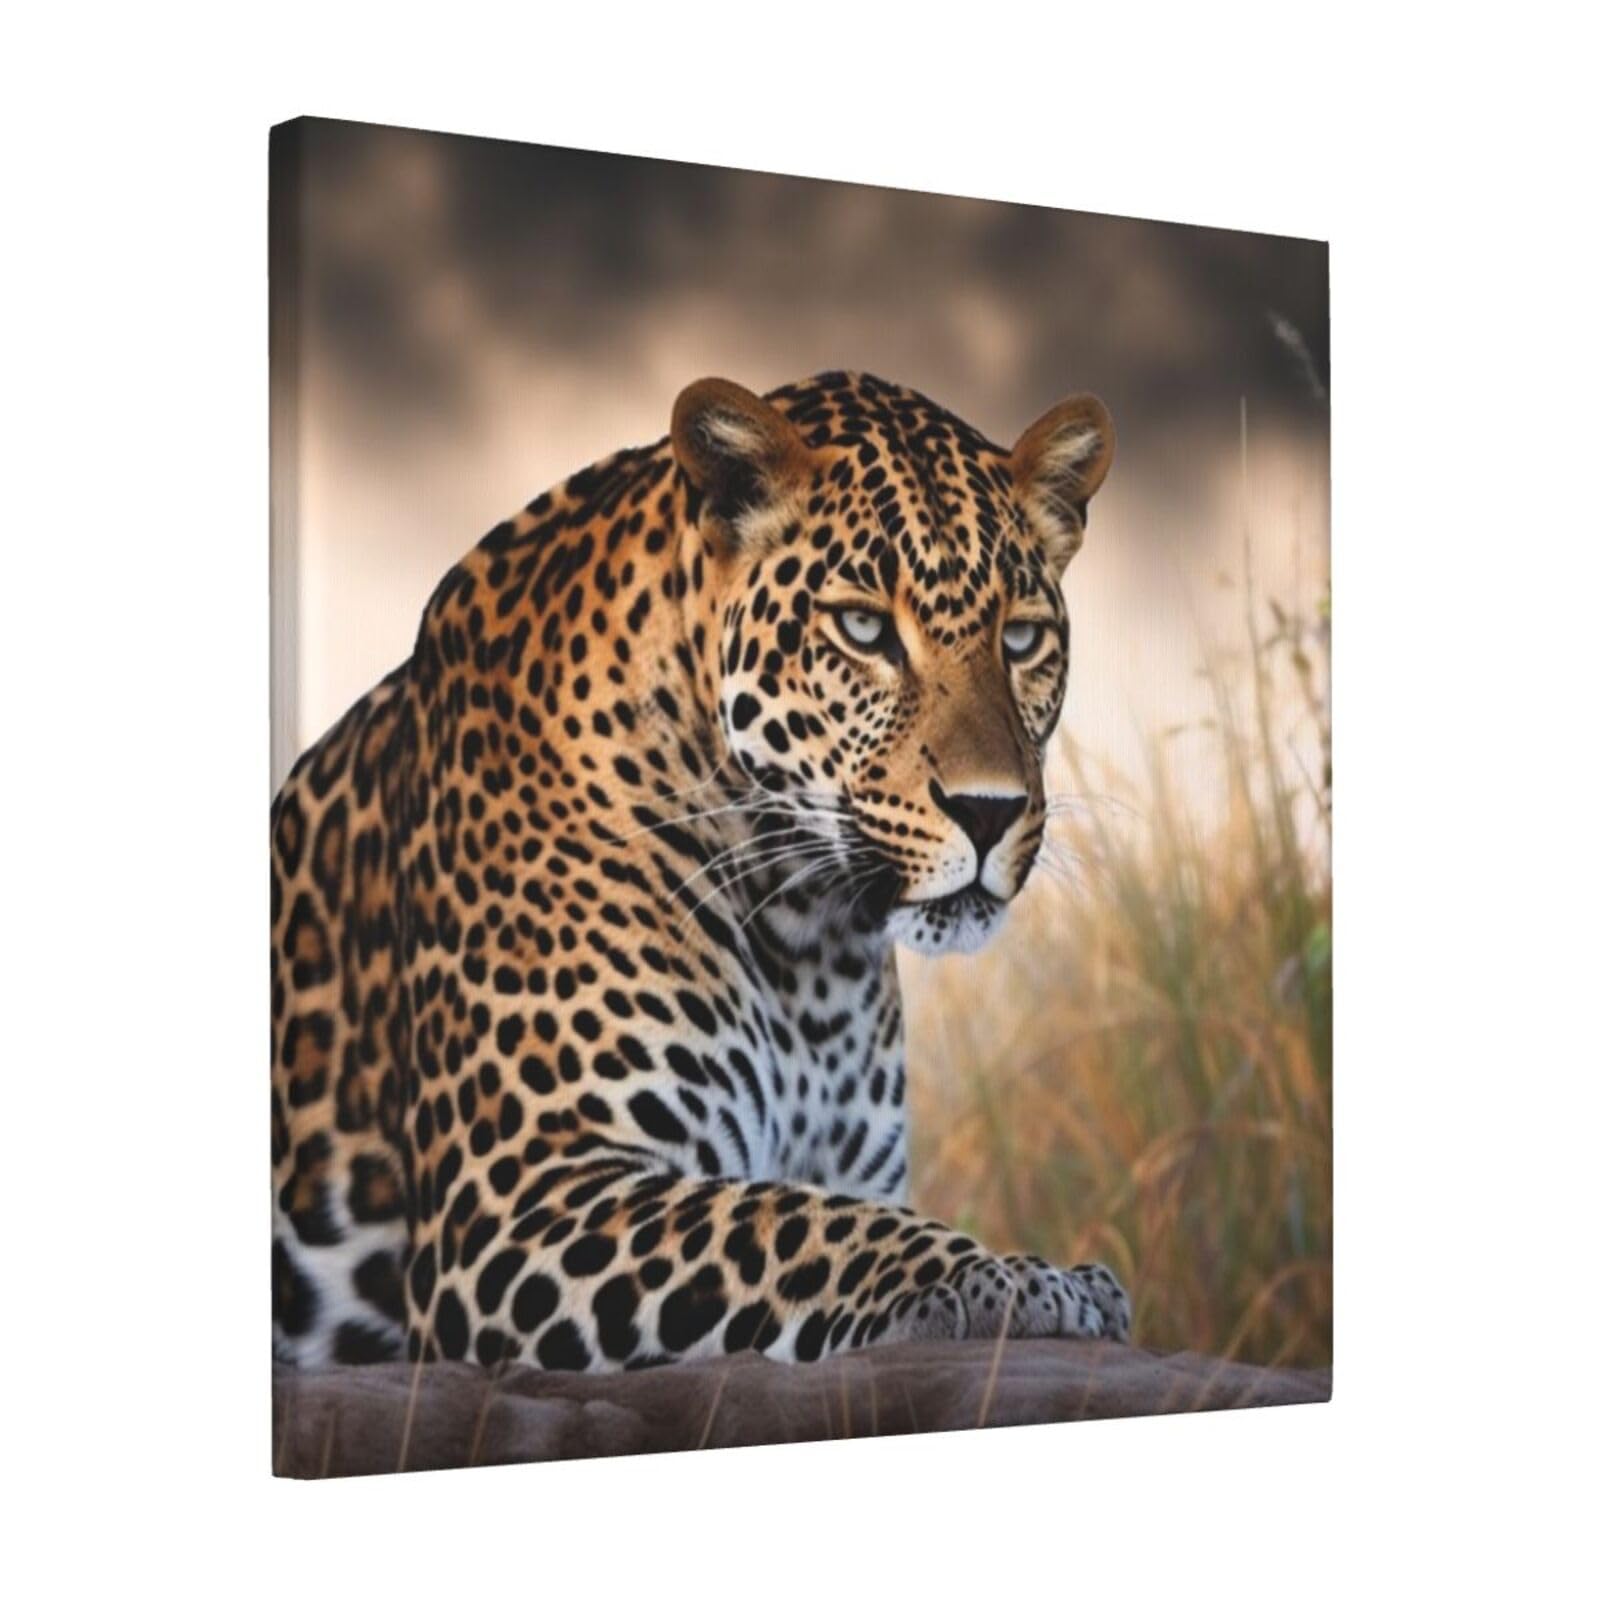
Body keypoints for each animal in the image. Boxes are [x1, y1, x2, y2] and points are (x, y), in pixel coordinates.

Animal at [271, 369, 1128, 1372]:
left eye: (1022, 640)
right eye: (864, 628)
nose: (990, 811)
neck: (808, 938)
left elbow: (811, 1208)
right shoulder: (512, 1205)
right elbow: (795, 1226)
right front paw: (1014, 1279)